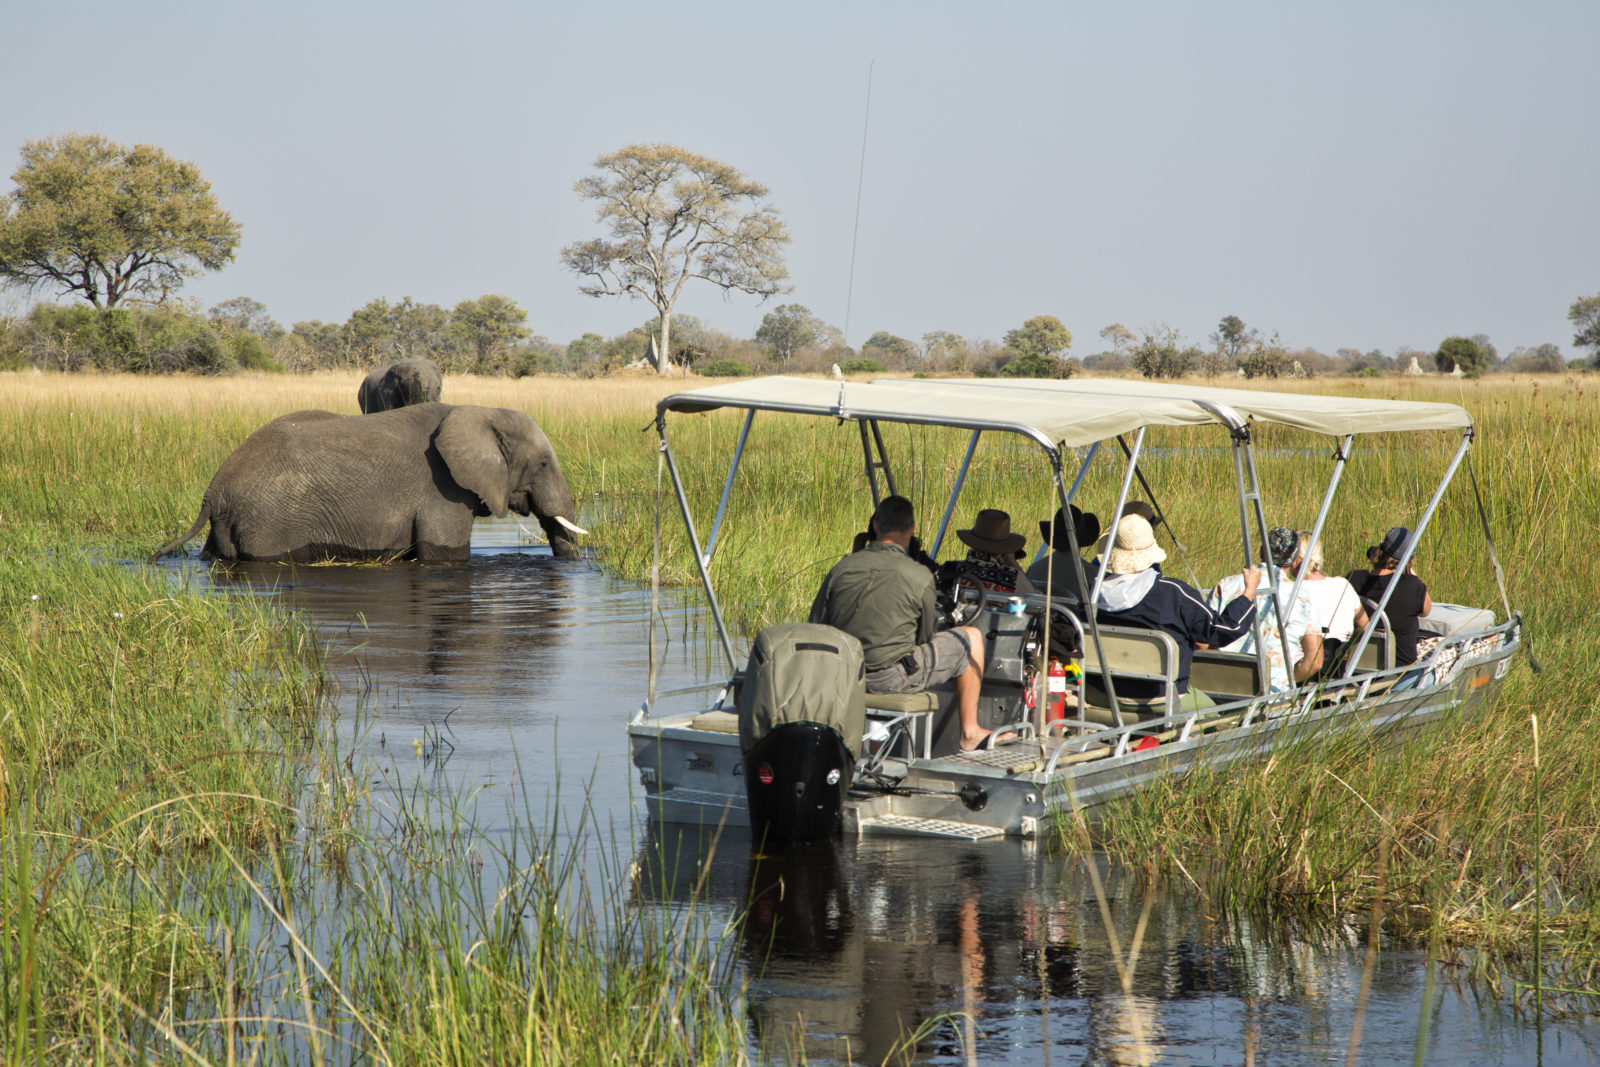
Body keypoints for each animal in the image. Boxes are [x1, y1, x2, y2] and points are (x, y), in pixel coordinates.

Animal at [153, 403, 587, 562]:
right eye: (543, 464)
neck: (480, 410)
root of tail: (214, 491)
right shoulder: (443, 491)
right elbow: (443, 552)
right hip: (271, 520)